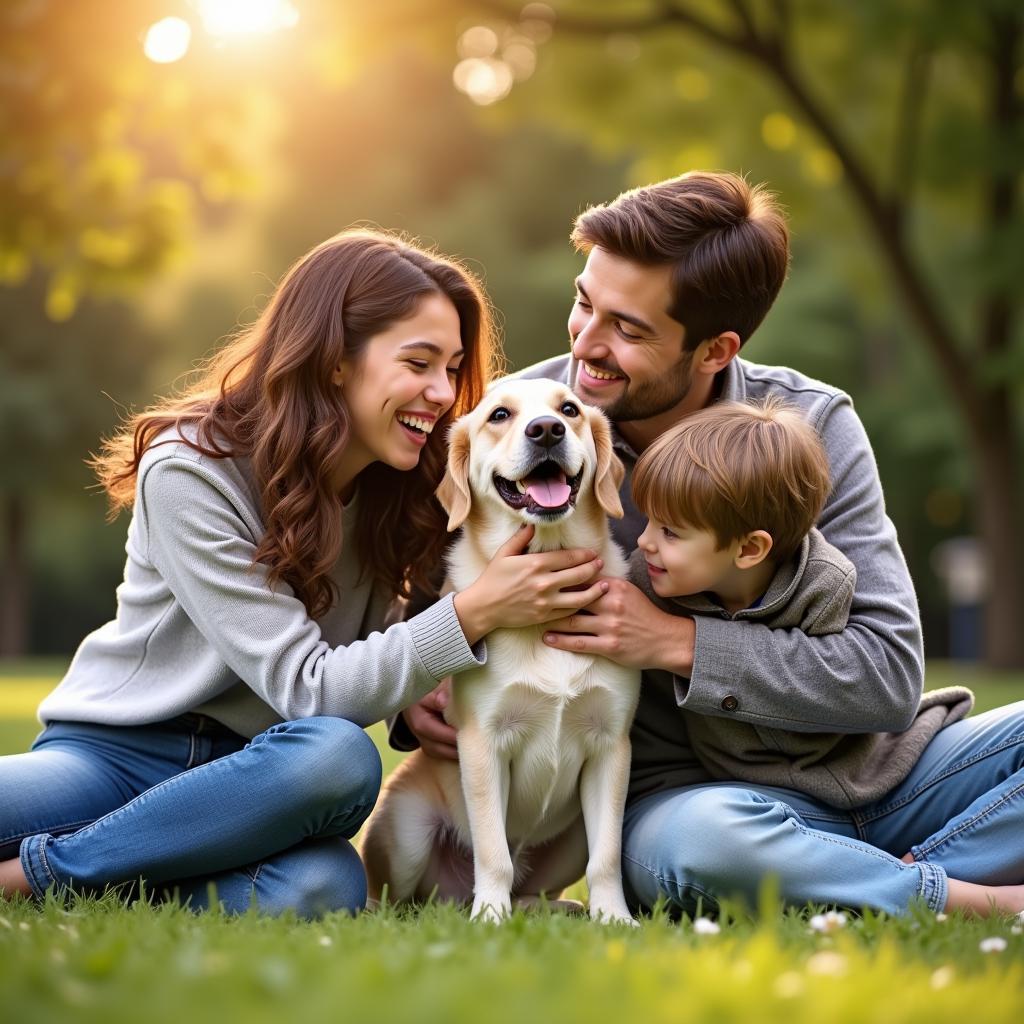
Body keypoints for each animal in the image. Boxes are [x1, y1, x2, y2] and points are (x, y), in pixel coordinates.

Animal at [362, 376, 638, 921]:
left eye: (569, 410)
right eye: (499, 415)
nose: (547, 430)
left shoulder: (611, 747)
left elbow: (606, 857)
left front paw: (614, 917)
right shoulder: (483, 744)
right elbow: (493, 852)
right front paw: (489, 917)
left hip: (570, 837)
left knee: (537, 887)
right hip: (405, 829)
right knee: (393, 901)